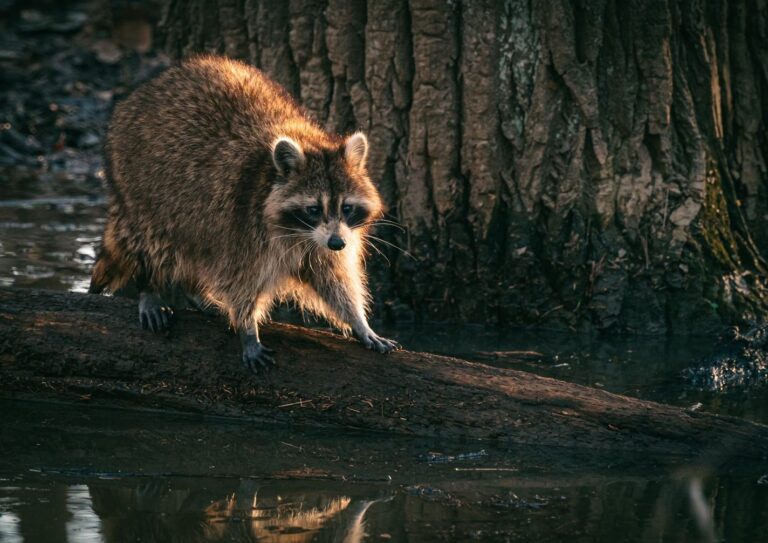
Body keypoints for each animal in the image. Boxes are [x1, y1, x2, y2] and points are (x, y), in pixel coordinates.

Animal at [89, 55, 400, 372]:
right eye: (314, 209)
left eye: (346, 207)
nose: (338, 243)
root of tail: (143, 91)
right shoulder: (242, 223)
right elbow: (240, 279)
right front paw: (247, 327)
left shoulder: (324, 240)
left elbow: (334, 279)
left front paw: (359, 321)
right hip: (140, 186)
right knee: (154, 242)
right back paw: (149, 286)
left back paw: (193, 289)